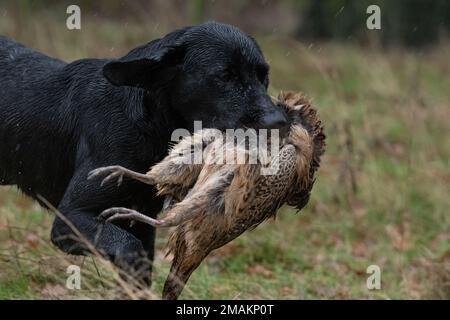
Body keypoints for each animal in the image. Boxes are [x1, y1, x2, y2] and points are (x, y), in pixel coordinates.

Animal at [0, 21, 286, 284]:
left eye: (264, 76)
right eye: (225, 76)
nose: (279, 122)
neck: (153, 120)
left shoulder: (142, 221)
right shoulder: (70, 218)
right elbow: (129, 248)